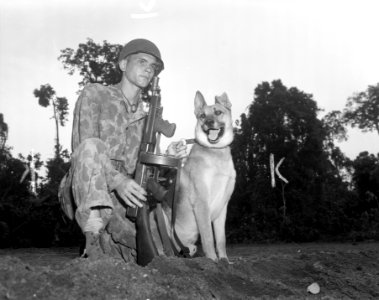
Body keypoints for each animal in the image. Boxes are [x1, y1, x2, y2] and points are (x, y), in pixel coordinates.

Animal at [174, 91, 236, 262]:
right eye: (202, 115)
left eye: (218, 112)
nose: (208, 122)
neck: (215, 151)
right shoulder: (202, 202)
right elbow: (208, 237)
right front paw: (212, 261)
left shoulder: (223, 207)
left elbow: (221, 239)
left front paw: (224, 261)